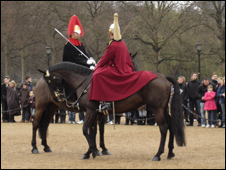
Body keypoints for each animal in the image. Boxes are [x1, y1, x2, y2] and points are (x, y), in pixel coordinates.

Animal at [32, 61, 186, 161]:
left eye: (50, 80)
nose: (57, 96)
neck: (85, 82)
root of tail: (164, 76)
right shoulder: (95, 112)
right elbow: (93, 131)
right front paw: (93, 151)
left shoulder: (91, 111)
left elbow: (87, 130)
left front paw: (93, 151)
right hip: (46, 106)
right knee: (40, 124)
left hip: (157, 109)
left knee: (164, 127)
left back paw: (158, 154)